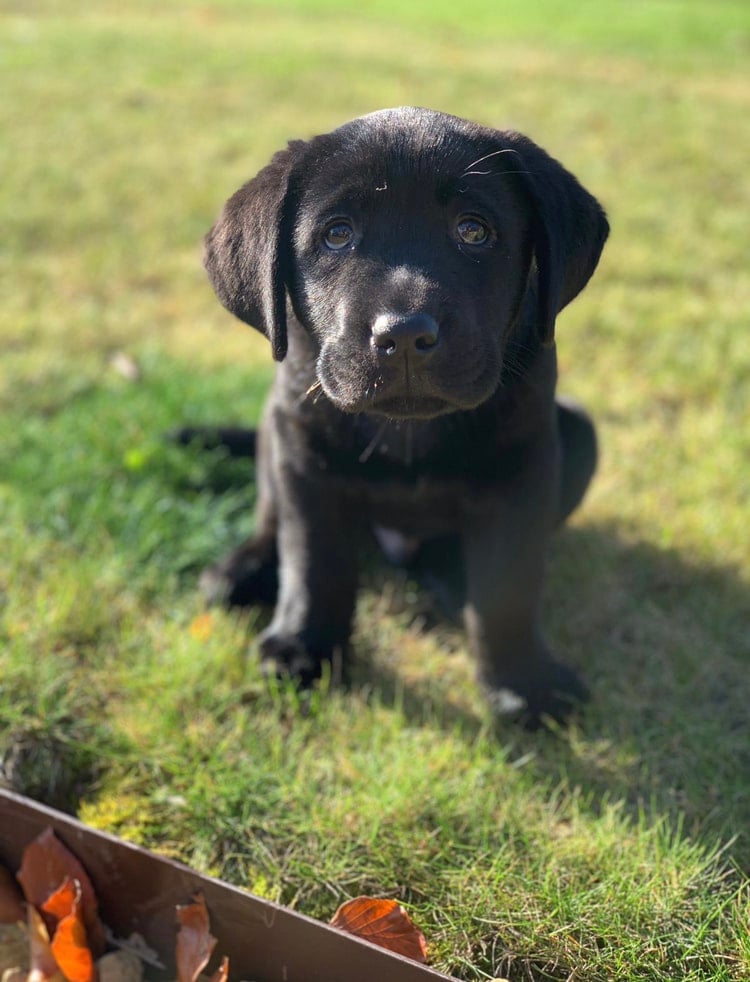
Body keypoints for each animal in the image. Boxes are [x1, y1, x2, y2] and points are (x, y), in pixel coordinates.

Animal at [200, 107, 612, 728]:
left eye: (473, 231)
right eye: (337, 234)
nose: (406, 336)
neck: (408, 430)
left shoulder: (526, 466)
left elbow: (508, 590)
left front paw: (523, 681)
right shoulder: (302, 455)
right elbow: (312, 560)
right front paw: (303, 647)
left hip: (578, 434)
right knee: (272, 518)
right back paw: (241, 570)